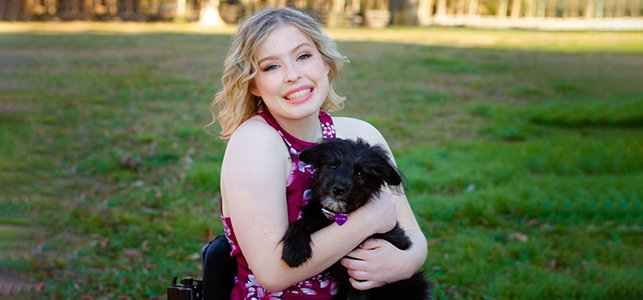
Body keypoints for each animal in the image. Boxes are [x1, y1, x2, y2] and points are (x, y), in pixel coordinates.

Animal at [284, 138, 430, 300]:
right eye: (333, 166)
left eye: (360, 173)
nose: (338, 188)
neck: (336, 216)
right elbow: (300, 222)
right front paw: (294, 251)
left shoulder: (366, 273)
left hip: (414, 282)